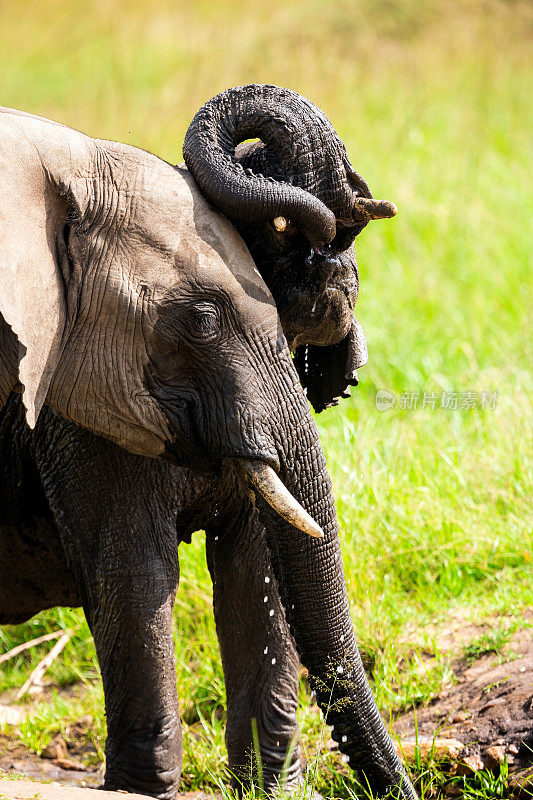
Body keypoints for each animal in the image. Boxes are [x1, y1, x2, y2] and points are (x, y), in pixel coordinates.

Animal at [0, 87, 416, 800]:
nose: (362, 204)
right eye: (199, 321)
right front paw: (143, 790)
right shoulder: (83, 423)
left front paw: (271, 789)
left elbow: (257, 571)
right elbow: (135, 571)